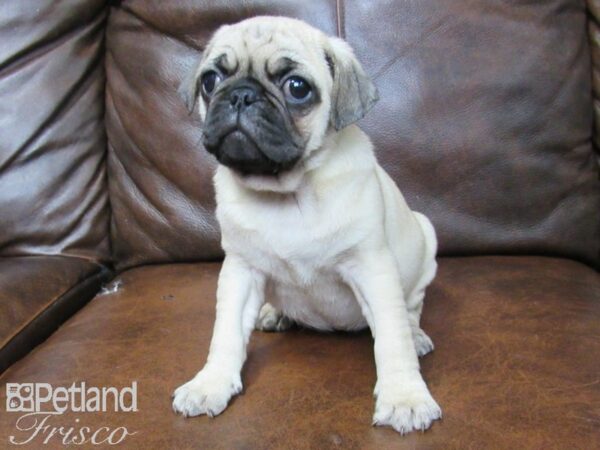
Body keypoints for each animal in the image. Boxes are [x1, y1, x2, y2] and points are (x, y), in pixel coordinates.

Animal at [171, 15, 442, 434]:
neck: (287, 192)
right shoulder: (240, 271)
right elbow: (226, 333)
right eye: (211, 80)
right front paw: (210, 383)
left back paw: (416, 335)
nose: (241, 95)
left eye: (297, 88)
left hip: (425, 244)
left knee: (411, 308)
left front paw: (404, 397)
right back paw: (275, 313)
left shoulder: (373, 269)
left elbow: (391, 339)